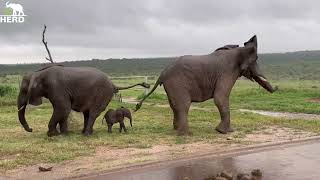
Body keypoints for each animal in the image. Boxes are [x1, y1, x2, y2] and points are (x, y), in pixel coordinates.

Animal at [16, 65, 149, 137]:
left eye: (24, 90)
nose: (31, 129)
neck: (39, 73)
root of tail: (113, 84)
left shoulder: (56, 88)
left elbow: (63, 108)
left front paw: (52, 135)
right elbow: (63, 111)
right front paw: (64, 134)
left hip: (102, 94)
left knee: (93, 113)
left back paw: (86, 134)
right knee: (87, 113)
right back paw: (84, 132)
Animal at [135, 35, 276, 135]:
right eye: (256, 59)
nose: (275, 89)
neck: (238, 50)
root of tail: (162, 73)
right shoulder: (227, 72)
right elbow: (220, 98)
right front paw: (225, 132)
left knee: (174, 106)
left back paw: (176, 130)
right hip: (177, 83)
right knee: (183, 105)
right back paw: (186, 134)